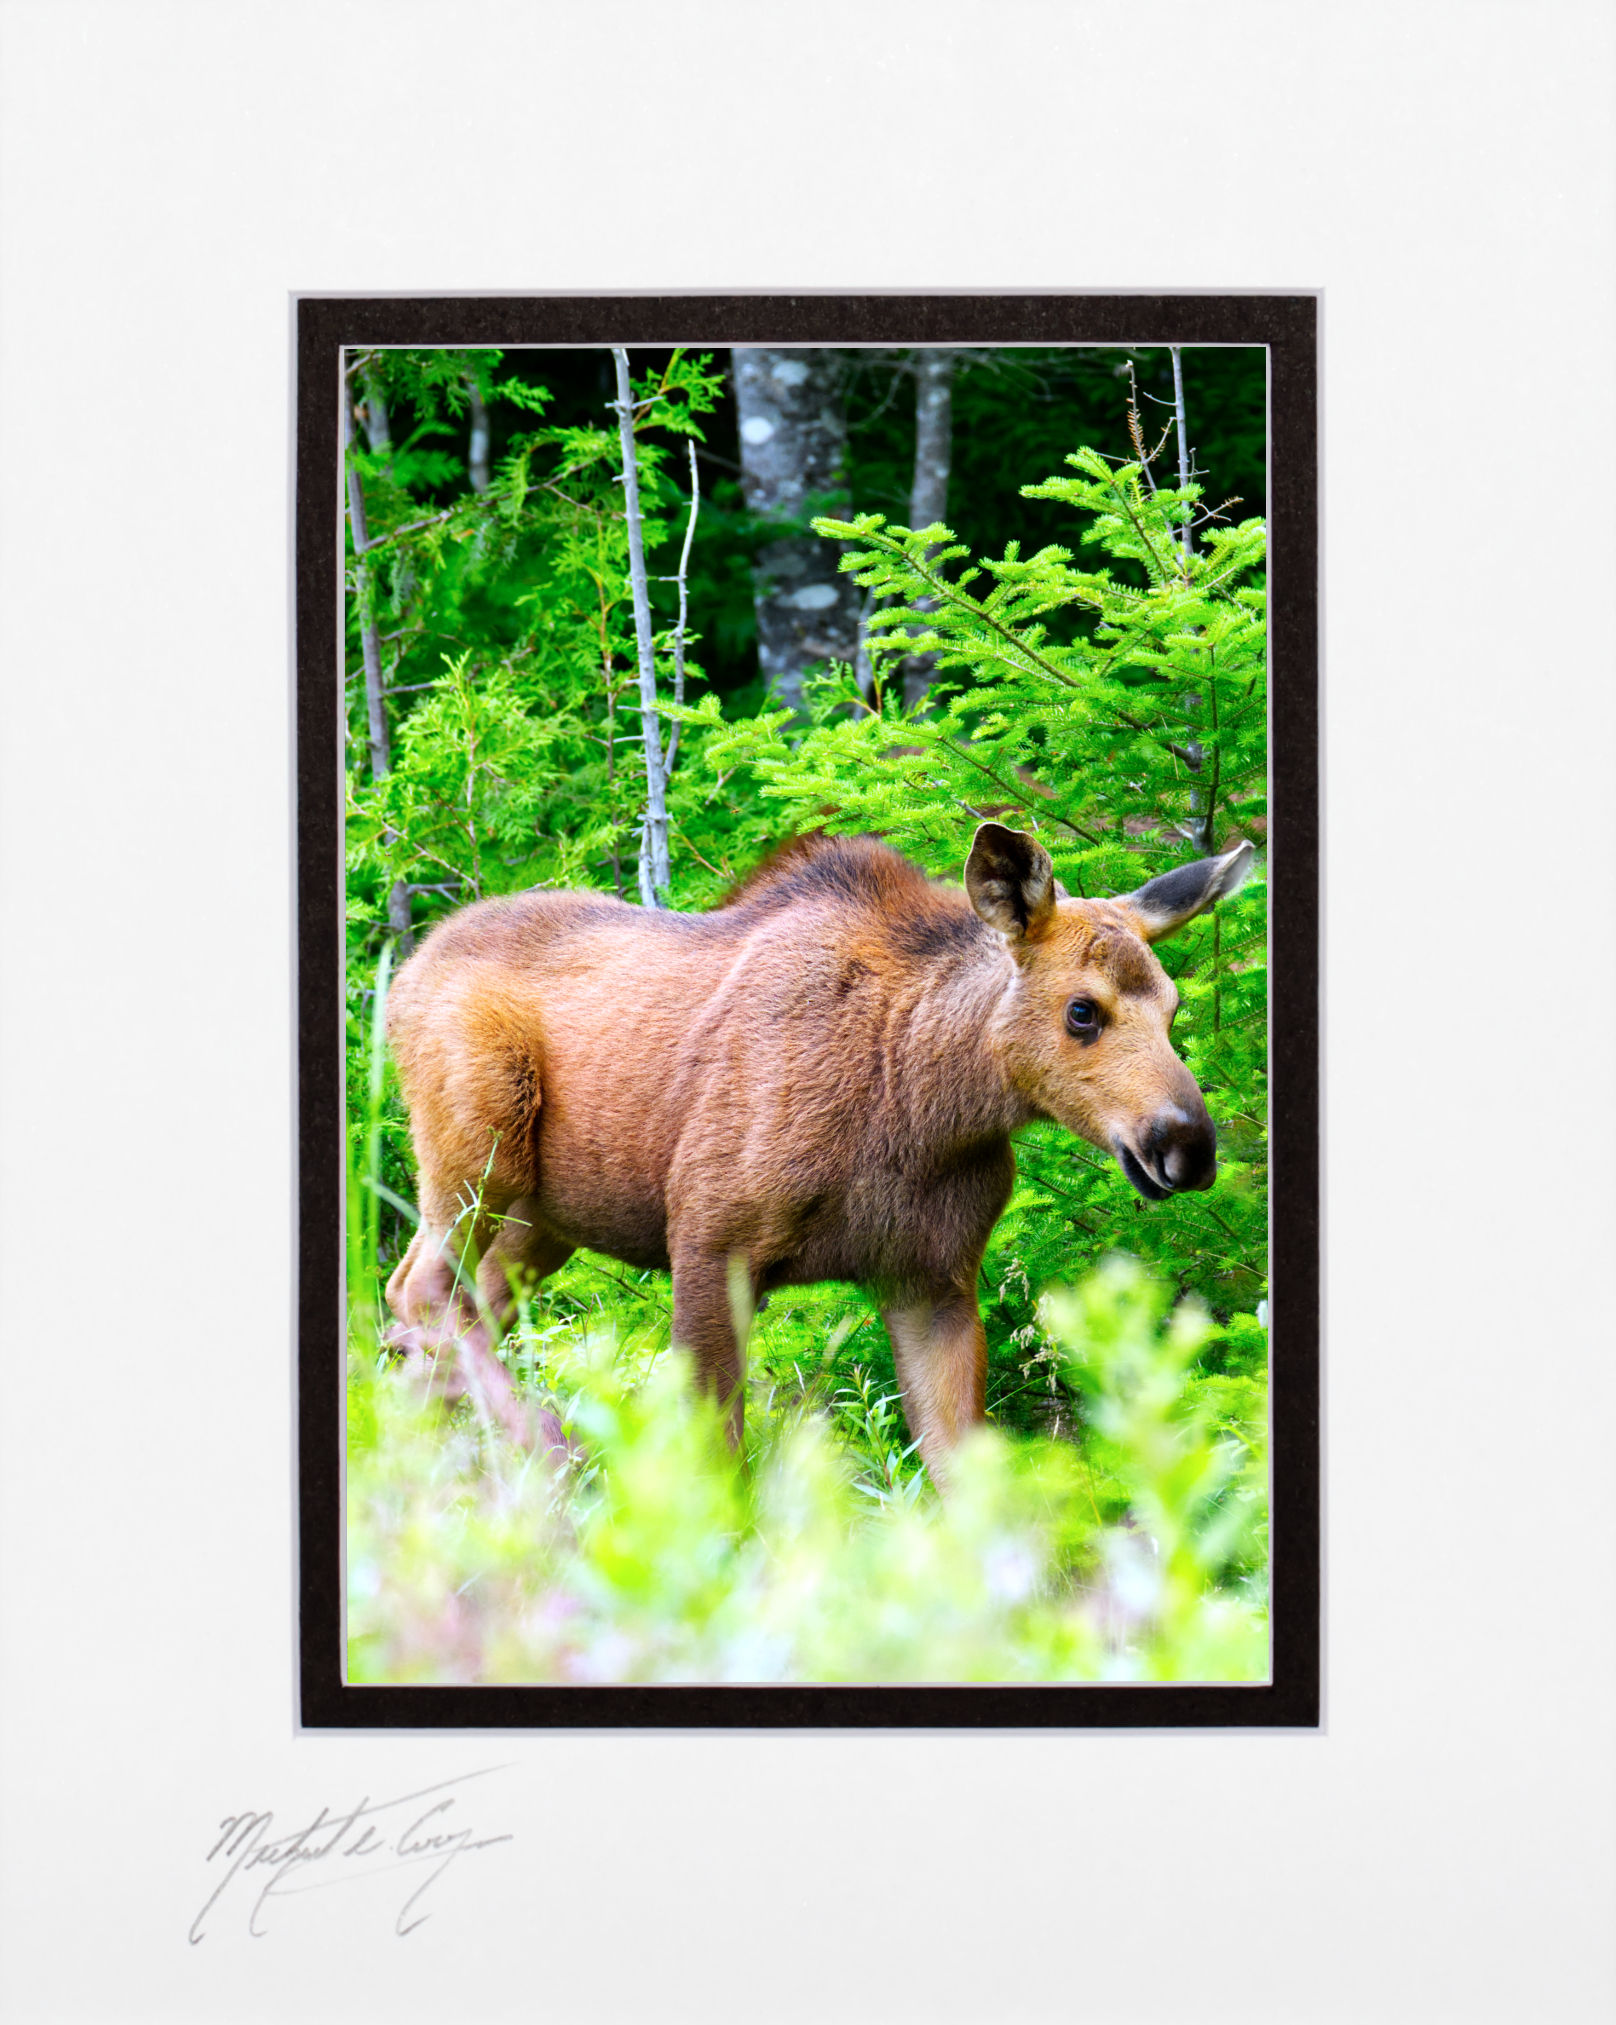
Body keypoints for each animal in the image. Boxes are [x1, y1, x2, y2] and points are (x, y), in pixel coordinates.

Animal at [379, 822, 1252, 1479]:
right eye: (1083, 1010)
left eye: (1175, 1007)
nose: (1188, 1146)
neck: (926, 1108)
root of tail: (405, 975)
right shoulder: (710, 1242)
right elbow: (718, 1463)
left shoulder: (933, 1279)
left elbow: (963, 1475)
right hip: (478, 1145)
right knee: (419, 1289)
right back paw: (552, 1446)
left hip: (544, 1216)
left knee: (452, 1307)